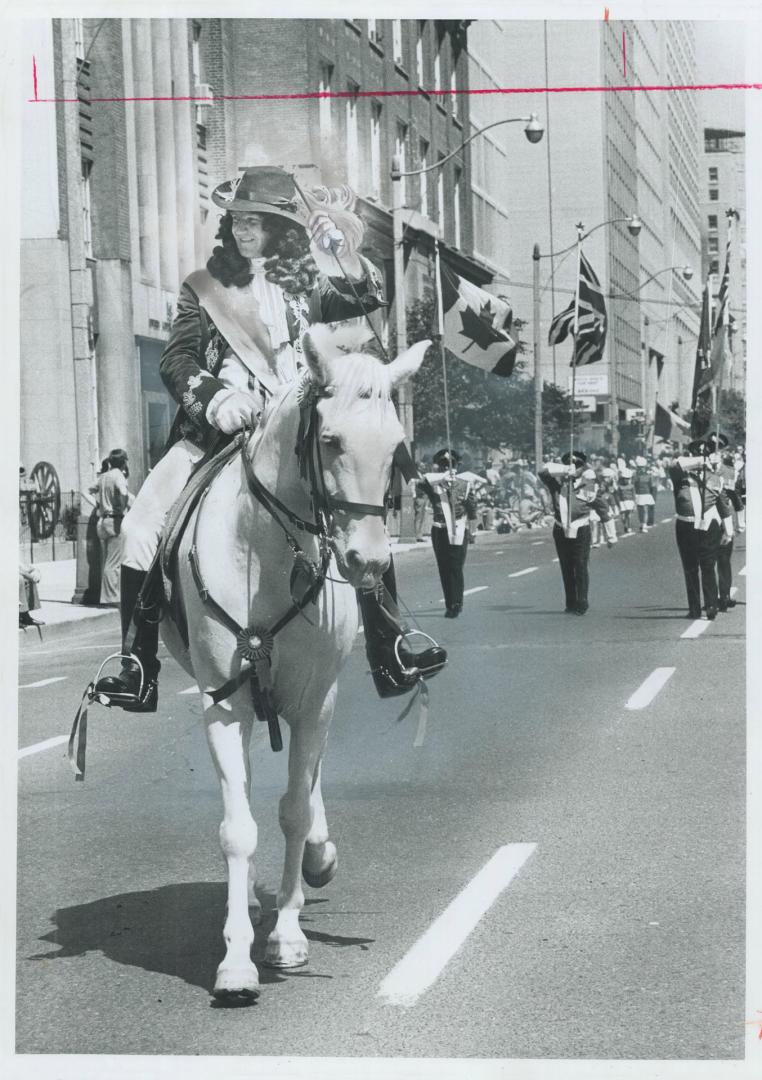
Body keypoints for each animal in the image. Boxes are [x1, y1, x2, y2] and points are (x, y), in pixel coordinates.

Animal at [161, 324, 427, 997]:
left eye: (397, 448)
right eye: (329, 441)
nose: (367, 561)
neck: (267, 556)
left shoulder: (313, 701)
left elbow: (294, 811)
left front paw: (285, 933)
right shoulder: (225, 702)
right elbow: (239, 827)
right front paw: (236, 960)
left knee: (309, 785)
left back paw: (318, 858)